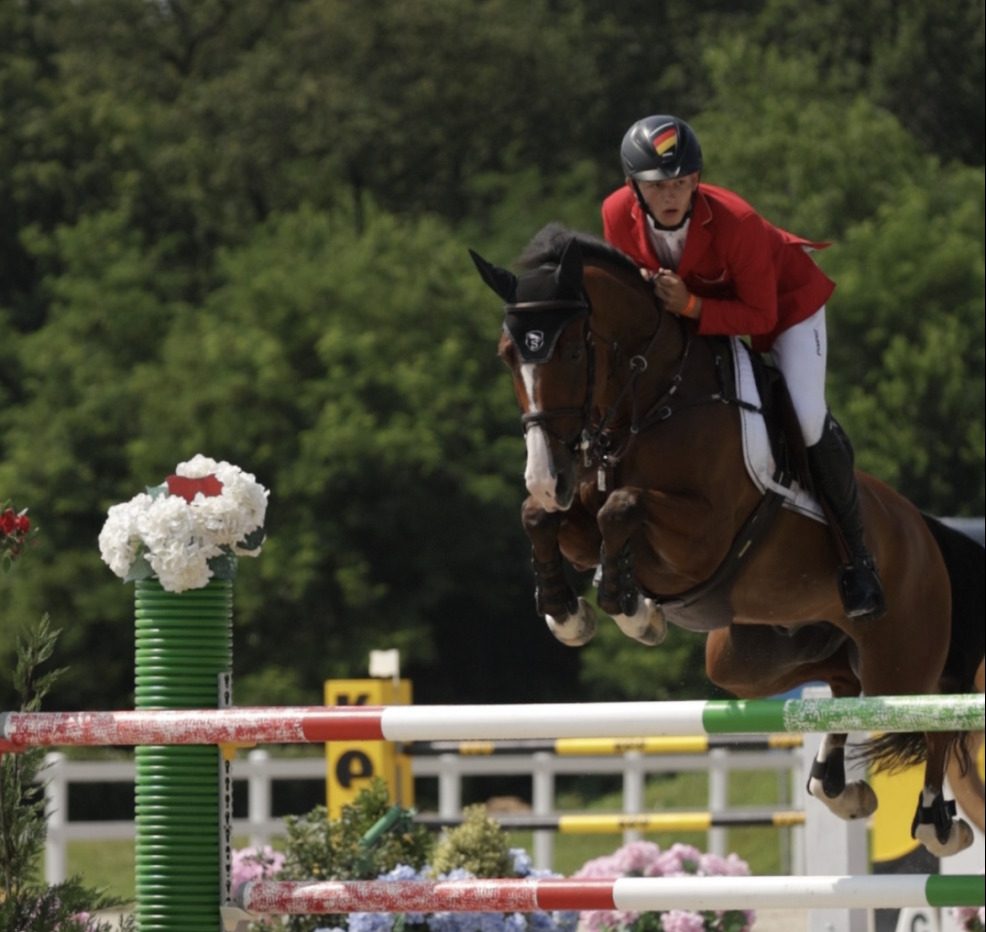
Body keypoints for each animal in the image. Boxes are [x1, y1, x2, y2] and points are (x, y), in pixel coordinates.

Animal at [468, 224, 984, 860]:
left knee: (933, 710)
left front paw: (631, 610)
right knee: (843, 685)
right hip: (751, 658)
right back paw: (838, 786)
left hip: (901, 660)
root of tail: (926, 530)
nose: (547, 476)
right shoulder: (584, 519)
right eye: (508, 355)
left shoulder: (701, 535)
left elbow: (624, 506)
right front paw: (571, 613)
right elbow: (541, 518)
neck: (653, 397)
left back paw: (938, 821)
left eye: (570, 351)